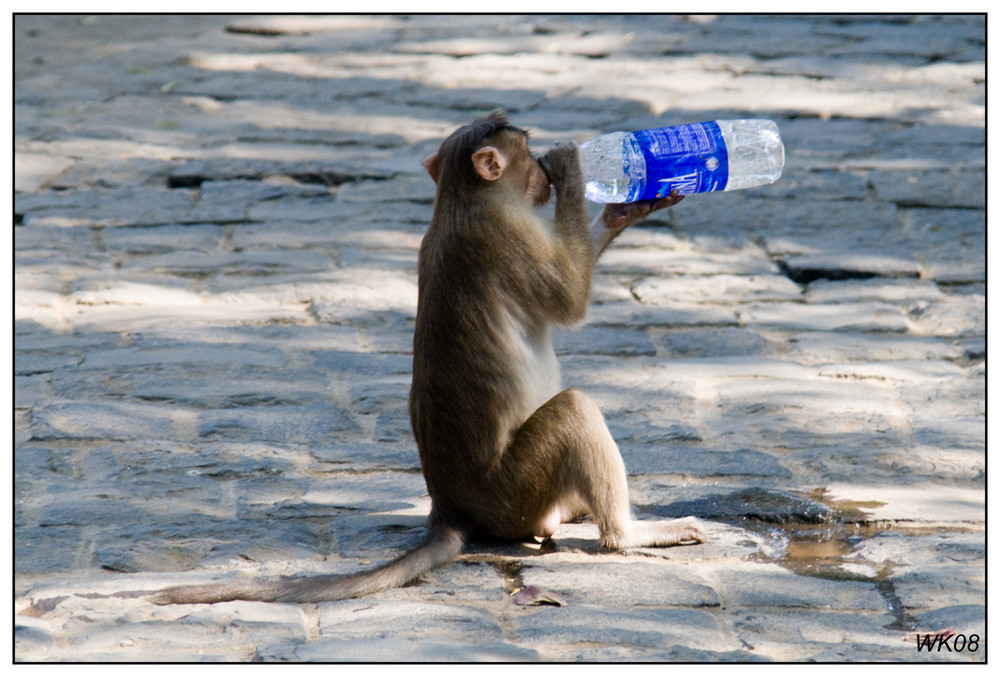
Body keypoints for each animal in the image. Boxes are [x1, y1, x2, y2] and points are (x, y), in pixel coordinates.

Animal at [152, 113, 708, 604]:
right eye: (530, 156)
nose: (544, 172)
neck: (461, 200)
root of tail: (449, 508)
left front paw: (623, 208)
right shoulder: (507, 236)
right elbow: (570, 301)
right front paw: (573, 166)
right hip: (516, 492)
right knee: (574, 409)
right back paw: (627, 533)